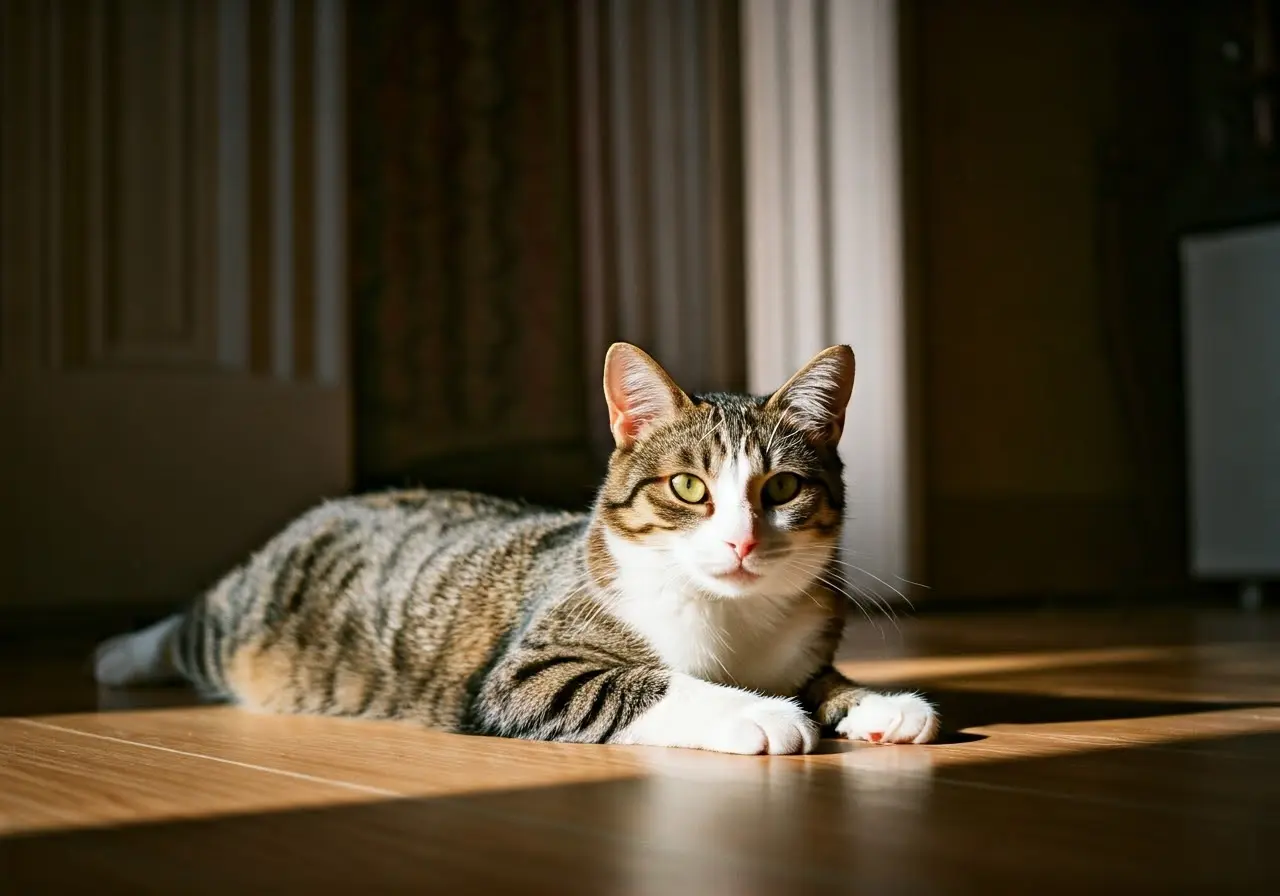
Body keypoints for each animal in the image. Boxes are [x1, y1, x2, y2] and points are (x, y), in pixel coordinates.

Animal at [94, 345, 942, 752]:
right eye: (688, 487)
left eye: (782, 489)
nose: (739, 540)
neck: (729, 618)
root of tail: (345, 498)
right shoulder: (527, 673)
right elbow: (641, 683)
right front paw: (756, 713)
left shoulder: (798, 644)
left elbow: (822, 679)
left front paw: (878, 703)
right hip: (242, 621)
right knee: (195, 621)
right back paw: (118, 656)